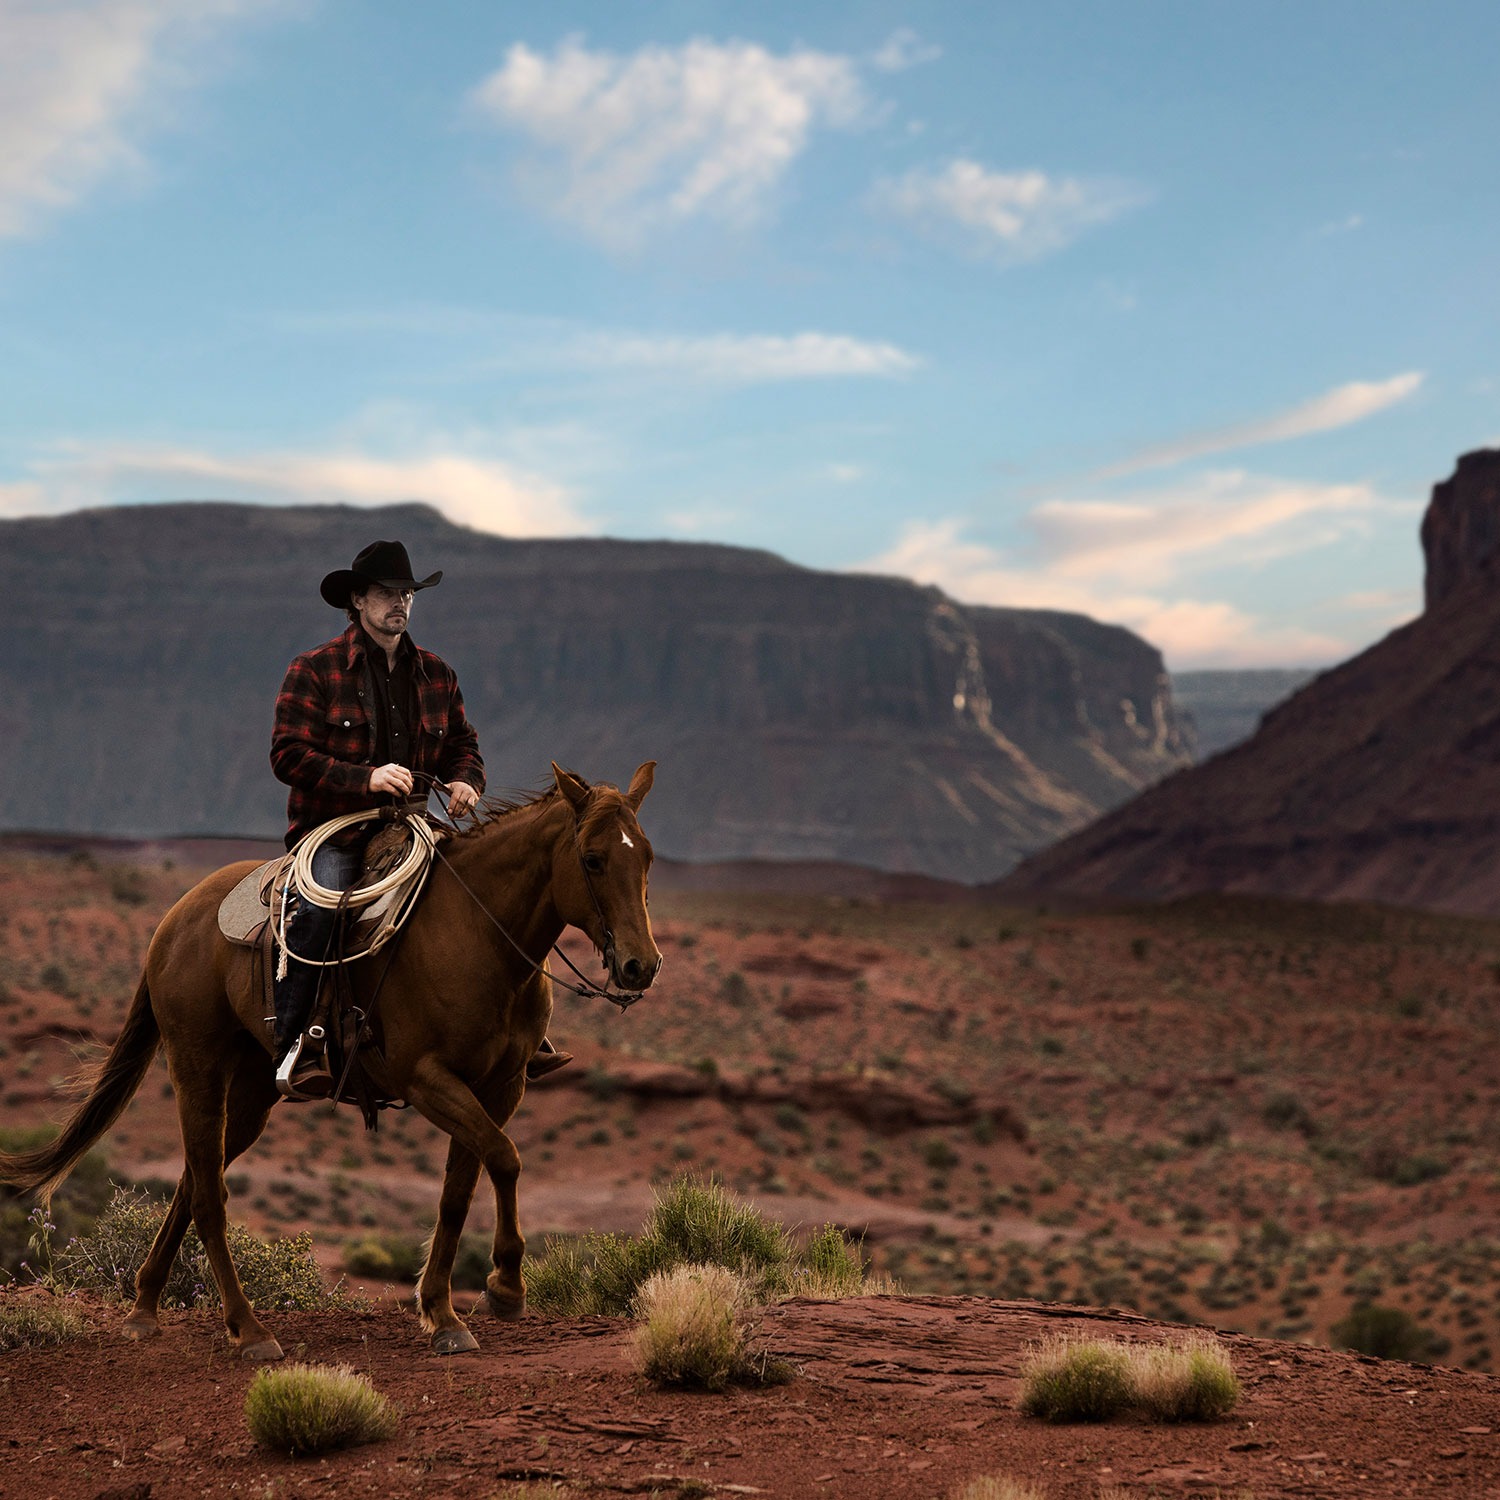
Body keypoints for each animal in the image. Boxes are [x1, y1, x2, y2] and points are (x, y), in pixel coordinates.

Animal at [0, 762, 663, 1362]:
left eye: (648, 859)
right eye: (593, 859)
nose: (641, 965)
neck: (479, 937)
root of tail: (175, 919)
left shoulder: (500, 1087)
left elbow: (461, 1189)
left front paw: (442, 1314)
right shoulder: (426, 1079)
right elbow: (505, 1157)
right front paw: (504, 1286)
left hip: (254, 1092)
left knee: (192, 1181)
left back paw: (143, 1307)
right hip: (197, 1068)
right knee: (209, 1194)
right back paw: (249, 1330)